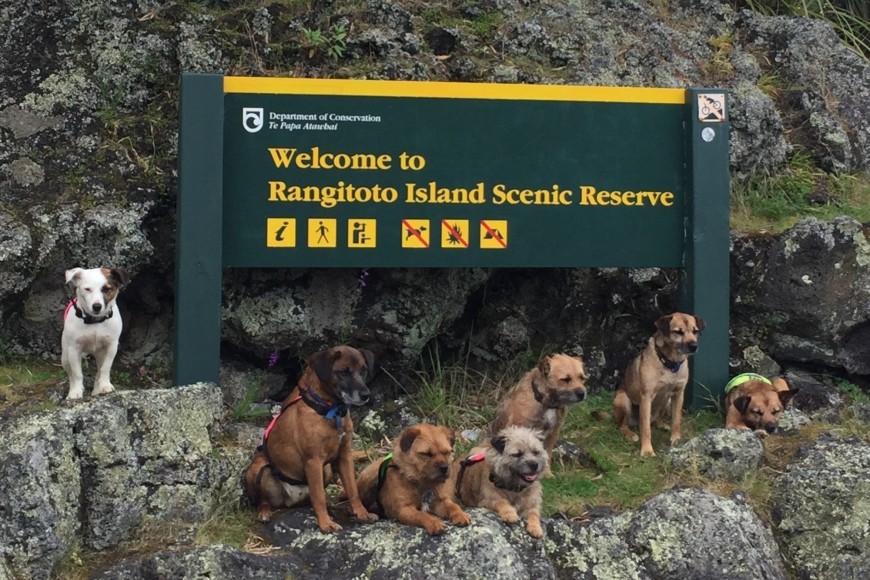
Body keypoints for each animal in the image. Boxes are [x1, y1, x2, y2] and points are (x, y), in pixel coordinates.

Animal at [245, 346, 382, 532]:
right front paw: (325, 523)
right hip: (257, 469)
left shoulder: (344, 456)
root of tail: (293, 499)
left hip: (326, 470)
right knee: (264, 499)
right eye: (343, 372)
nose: (366, 395)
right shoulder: (314, 461)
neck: (331, 409)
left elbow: (352, 489)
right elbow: (319, 498)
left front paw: (362, 513)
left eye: (363, 370)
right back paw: (265, 512)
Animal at [616, 312, 704, 458]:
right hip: (623, 398)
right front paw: (647, 450)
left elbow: (676, 420)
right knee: (623, 425)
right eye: (678, 332)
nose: (694, 346)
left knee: (655, 420)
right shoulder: (646, 397)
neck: (670, 363)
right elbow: (646, 428)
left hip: (666, 402)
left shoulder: (678, 394)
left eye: (695, 331)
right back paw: (631, 434)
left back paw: (662, 425)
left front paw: (676, 439)